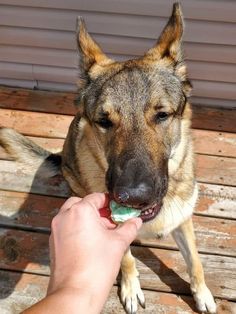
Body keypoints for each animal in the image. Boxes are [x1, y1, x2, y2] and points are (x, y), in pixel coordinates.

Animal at [0, 3, 217, 314]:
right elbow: (125, 258)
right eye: (104, 121)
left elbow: (195, 261)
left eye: (162, 115)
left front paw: (203, 294)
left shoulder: (183, 220)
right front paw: (130, 287)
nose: (133, 196)